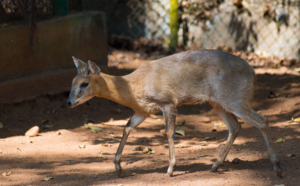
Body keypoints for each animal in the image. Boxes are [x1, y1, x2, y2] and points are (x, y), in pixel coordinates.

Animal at [67, 49, 282, 177]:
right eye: (72, 82)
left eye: (84, 83)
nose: (68, 102)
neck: (135, 86)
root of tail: (253, 73)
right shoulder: (143, 110)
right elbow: (127, 128)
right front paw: (118, 168)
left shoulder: (168, 102)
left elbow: (170, 132)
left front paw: (170, 169)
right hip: (218, 102)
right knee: (235, 126)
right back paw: (215, 165)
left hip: (234, 99)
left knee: (262, 120)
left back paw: (277, 165)